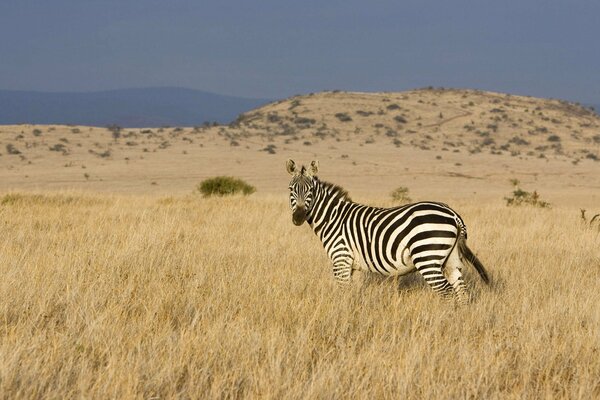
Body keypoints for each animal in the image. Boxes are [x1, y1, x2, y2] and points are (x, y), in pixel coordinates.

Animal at [288, 158, 492, 302]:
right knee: (461, 291)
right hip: (450, 258)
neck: (333, 218)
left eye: (310, 191)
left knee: (447, 292)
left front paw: (342, 315)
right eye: (291, 189)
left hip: (427, 256)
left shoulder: (340, 259)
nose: (298, 217)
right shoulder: (351, 265)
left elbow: (343, 293)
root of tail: (453, 213)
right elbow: (351, 293)